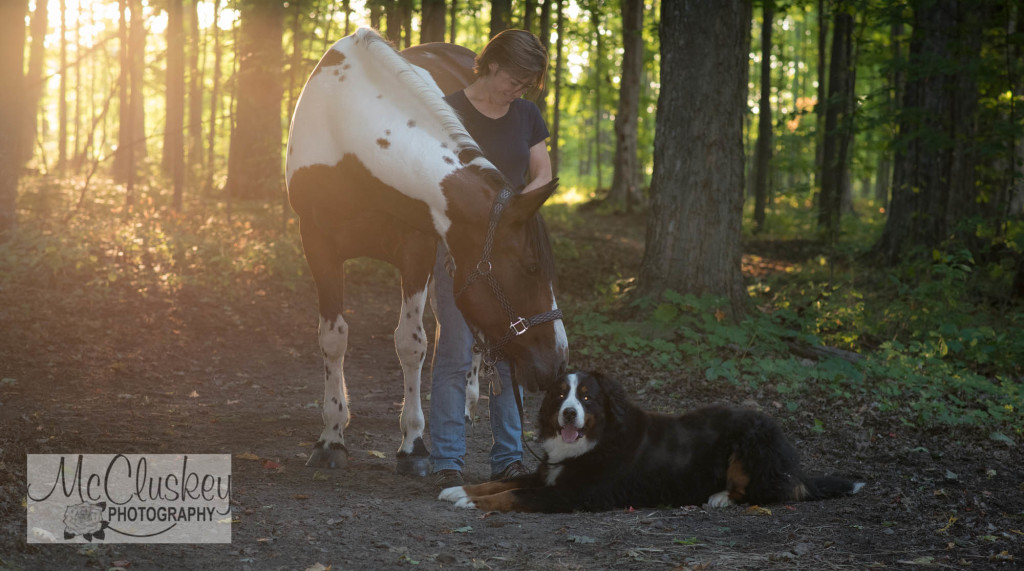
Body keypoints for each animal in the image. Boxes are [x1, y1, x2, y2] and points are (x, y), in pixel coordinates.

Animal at [286, 26, 569, 476]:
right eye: (530, 267)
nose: (559, 363)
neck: (347, 135)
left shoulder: (417, 248)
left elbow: (410, 342)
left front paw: (413, 443)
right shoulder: (317, 244)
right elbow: (333, 338)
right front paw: (332, 436)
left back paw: (468, 403)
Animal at [440, 372, 864, 515]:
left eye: (587, 397)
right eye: (561, 395)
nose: (569, 414)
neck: (599, 439)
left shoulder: (574, 493)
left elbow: (511, 494)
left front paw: (471, 502)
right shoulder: (550, 475)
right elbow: (502, 482)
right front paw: (459, 490)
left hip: (752, 438)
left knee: (769, 491)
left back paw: (721, 497)